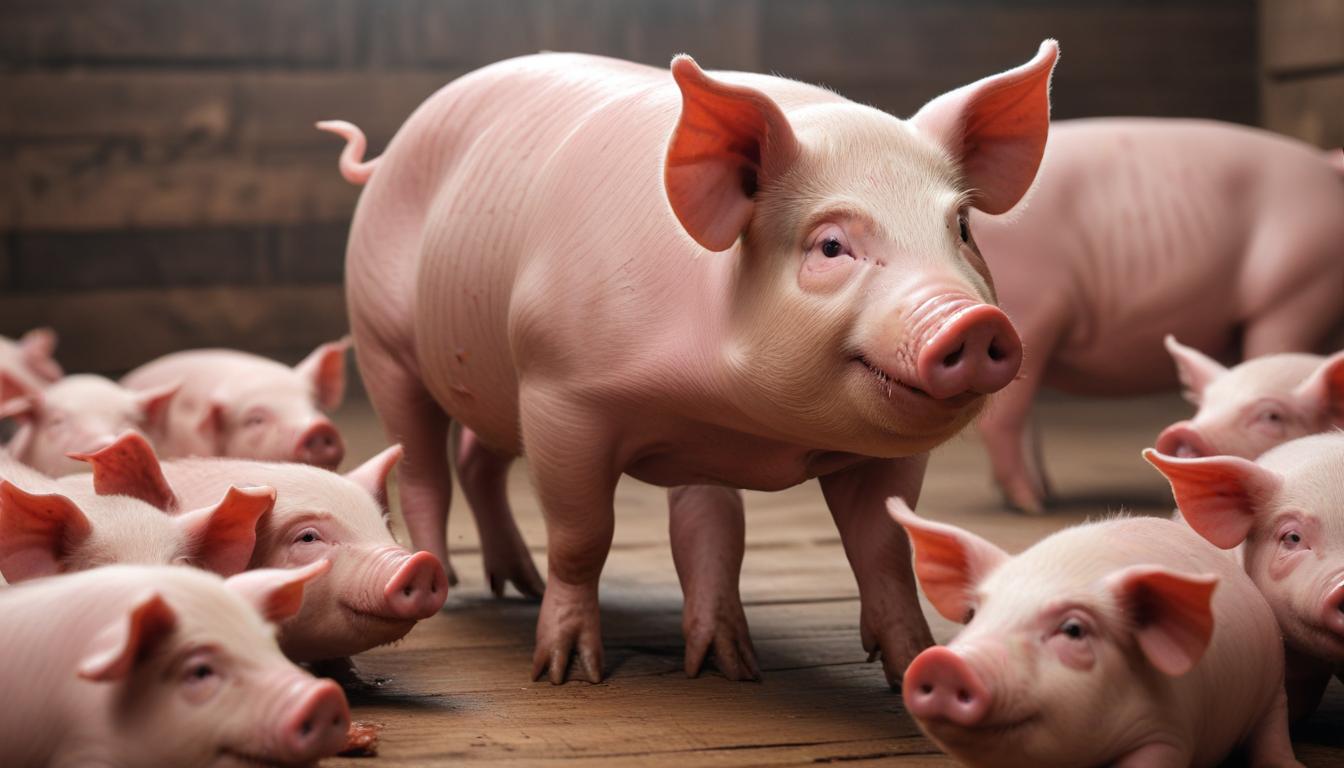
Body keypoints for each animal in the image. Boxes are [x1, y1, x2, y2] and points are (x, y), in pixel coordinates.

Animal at [322, 43, 1060, 685]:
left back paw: (518, 587)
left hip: (497, 377)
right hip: (385, 343)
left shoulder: (734, 445)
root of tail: (384, 158)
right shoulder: (561, 390)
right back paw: (448, 587)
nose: (974, 321)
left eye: (961, 228)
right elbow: (584, 533)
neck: (739, 423)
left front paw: (752, 669)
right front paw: (569, 673)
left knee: (480, 457)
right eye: (829, 245)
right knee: (424, 466)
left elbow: (840, 546)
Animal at [891, 501, 1299, 768]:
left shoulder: (1167, 732)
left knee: (1272, 732)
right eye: (973, 615)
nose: (943, 661)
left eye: (1073, 630)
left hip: (1273, 685)